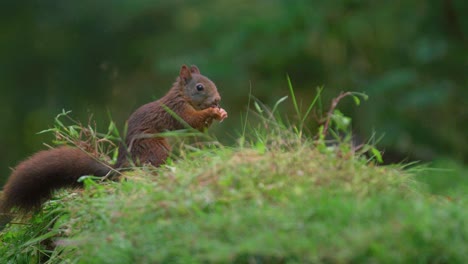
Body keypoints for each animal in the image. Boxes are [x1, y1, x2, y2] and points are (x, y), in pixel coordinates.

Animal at [0, 65, 227, 222]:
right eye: (199, 87)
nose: (217, 99)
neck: (181, 95)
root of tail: (120, 168)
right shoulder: (177, 109)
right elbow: (190, 122)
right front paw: (212, 112)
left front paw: (220, 113)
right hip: (155, 149)